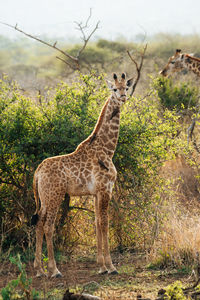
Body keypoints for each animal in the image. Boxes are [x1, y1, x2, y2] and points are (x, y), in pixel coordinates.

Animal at [32, 72, 134, 276]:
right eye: (114, 88)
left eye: (126, 87)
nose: (123, 97)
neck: (107, 149)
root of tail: (38, 172)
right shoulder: (105, 189)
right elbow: (105, 223)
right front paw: (111, 267)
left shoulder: (95, 193)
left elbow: (97, 222)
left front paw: (101, 266)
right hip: (55, 196)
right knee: (48, 226)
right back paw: (54, 270)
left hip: (44, 198)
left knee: (39, 223)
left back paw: (39, 269)